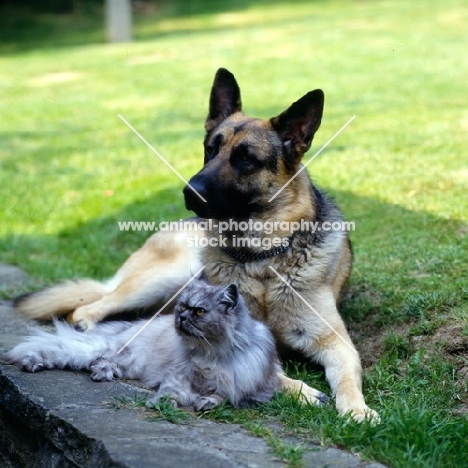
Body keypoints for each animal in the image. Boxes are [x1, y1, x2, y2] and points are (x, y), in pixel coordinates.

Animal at [2, 280, 282, 412]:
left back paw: (102, 373)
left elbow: (221, 397)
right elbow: (171, 393)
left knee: (101, 362)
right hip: (99, 349)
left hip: (128, 362)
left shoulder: (248, 391)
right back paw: (31, 363)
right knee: (57, 351)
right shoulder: (178, 378)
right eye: (183, 306)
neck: (210, 355)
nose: (181, 318)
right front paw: (164, 404)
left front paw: (206, 402)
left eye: (200, 312)